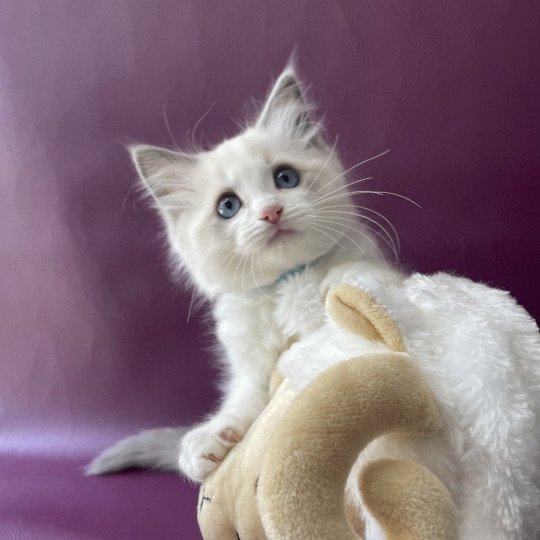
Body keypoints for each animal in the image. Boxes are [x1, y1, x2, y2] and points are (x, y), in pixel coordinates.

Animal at [86, 62, 400, 480]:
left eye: (285, 178)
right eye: (228, 206)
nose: (271, 212)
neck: (289, 280)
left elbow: (369, 281)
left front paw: (342, 279)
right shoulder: (251, 369)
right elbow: (242, 404)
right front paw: (209, 439)